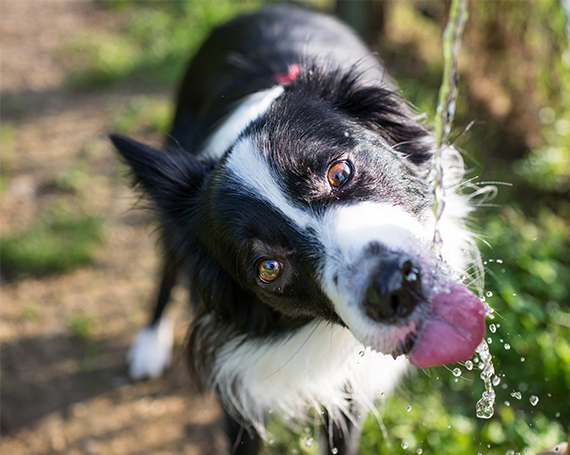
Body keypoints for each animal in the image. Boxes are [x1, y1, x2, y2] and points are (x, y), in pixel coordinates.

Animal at [110, 4, 484, 455]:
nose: (394, 287)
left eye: (339, 172)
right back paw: (149, 343)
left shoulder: (348, 395)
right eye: (268, 268)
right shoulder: (239, 392)